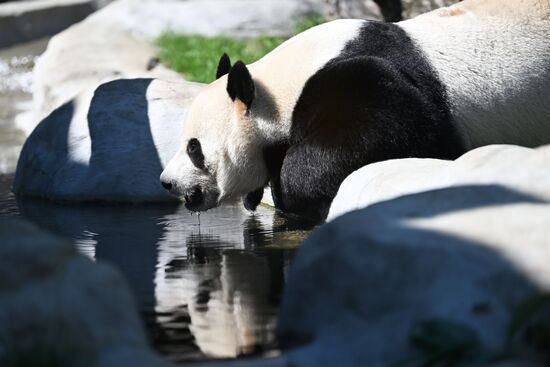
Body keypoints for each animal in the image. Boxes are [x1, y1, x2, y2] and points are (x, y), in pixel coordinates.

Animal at [160, 0, 550, 223]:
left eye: (194, 148)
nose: (168, 182)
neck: (277, 89)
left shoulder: (362, 82)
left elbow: (397, 131)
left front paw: (291, 186)